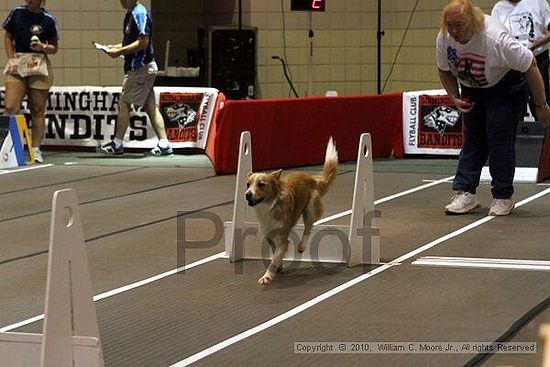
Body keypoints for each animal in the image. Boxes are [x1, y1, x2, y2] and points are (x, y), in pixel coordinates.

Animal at [247, 138, 340, 284]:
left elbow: (274, 259)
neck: (270, 206)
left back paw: (302, 246)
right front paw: (279, 266)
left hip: (310, 208)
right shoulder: (269, 235)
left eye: (261, 184)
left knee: (309, 227)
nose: (247, 194)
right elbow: (275, 254)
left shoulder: (282, 239)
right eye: (248, 185)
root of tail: (313, 179)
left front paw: (267, 276)